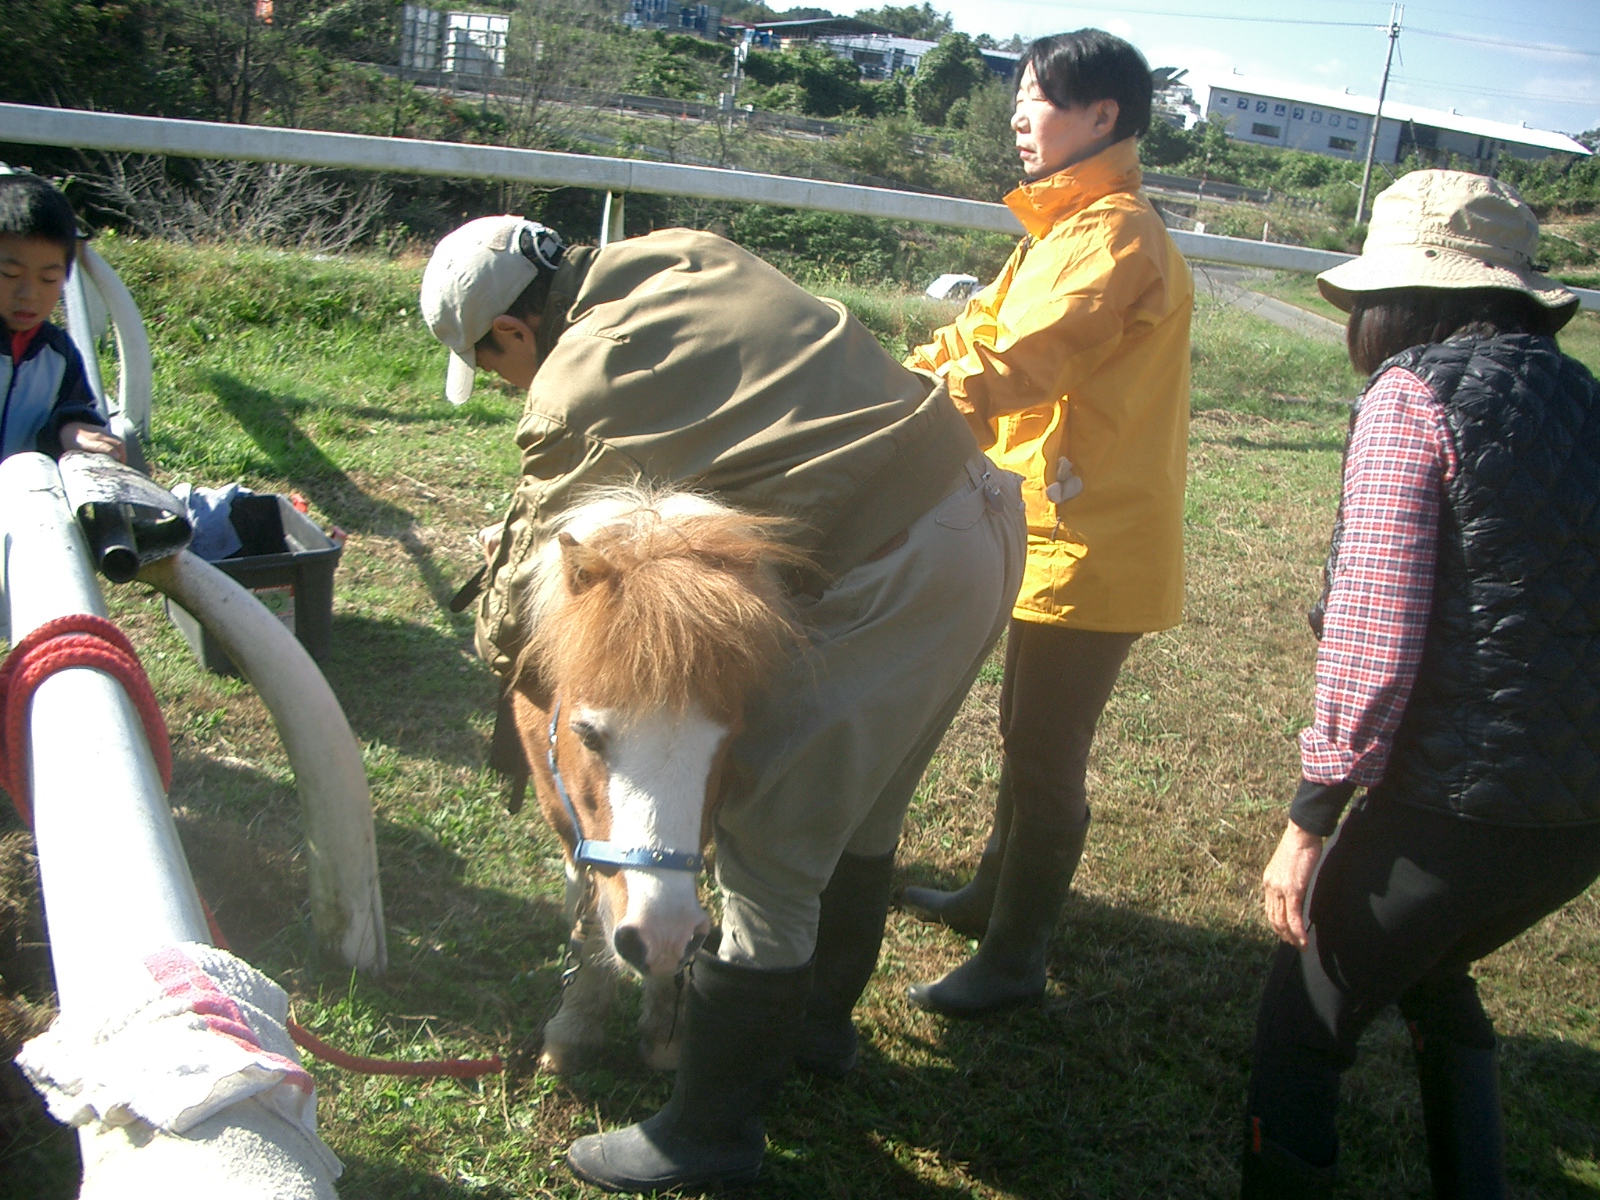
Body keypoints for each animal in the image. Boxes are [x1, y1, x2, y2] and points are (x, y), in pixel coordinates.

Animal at [502, 484, 806, 1073]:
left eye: (728, 740)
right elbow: (587, 905)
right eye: (587, 734)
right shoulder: (565, 818)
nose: (661, 939)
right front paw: (575, 1025)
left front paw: (666, 1027)